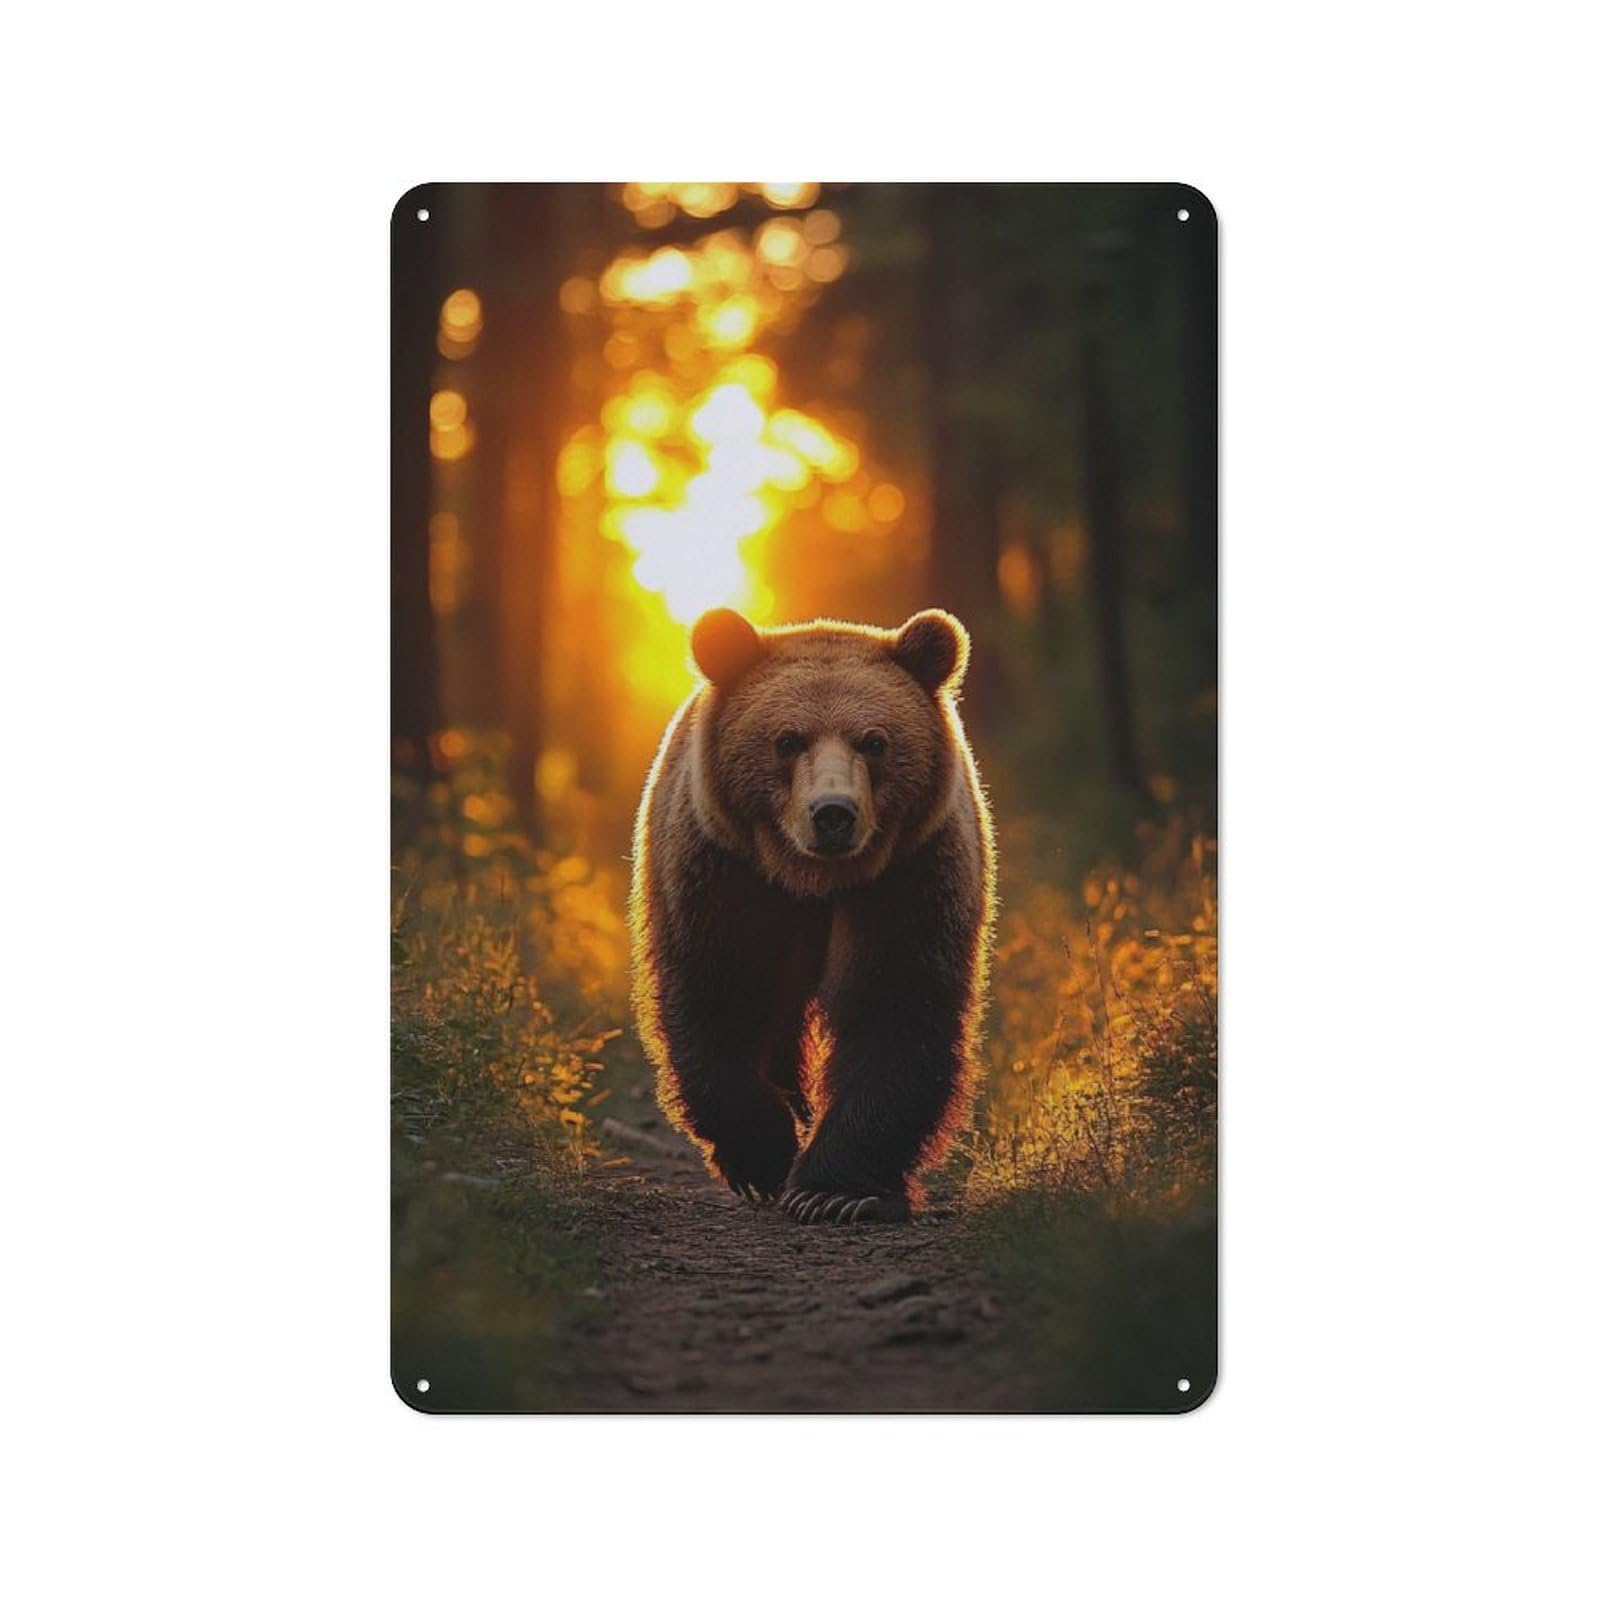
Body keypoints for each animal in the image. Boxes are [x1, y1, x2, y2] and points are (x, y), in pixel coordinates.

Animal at [630, 606, 995, 1224]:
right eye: (787, 739)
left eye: (874, 740)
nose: (833, 814)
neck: (813, 878)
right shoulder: (726, 873)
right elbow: (722, 993)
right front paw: (765, 1153)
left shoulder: (907, 876)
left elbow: (894, 1007)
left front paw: (834, 1192)